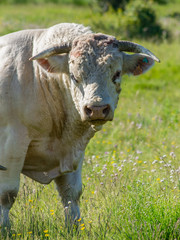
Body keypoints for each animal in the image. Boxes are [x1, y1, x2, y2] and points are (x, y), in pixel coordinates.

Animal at [0, 23, 160, 229]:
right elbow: (7, 193)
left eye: (116, 74)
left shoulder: (75, 149)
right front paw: (5, 228)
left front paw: (74, 227)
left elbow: (71, 194)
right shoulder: (11, 142)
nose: (97, 109)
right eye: (74, 76)